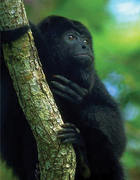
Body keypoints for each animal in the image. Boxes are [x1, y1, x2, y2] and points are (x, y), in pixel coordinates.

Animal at [0, 15, 126, 180]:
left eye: (86, 41)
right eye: (71, 37)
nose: (85, 47)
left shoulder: (95, 81)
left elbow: (116, 130)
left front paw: (79, 101)